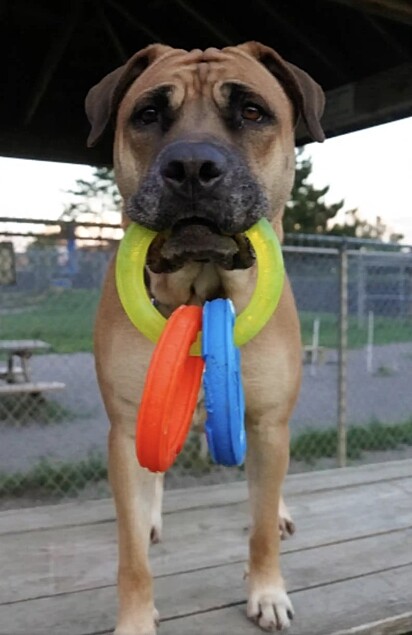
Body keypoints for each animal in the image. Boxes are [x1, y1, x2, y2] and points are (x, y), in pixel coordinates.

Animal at [87, 42, 326, 632]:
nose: (192, 167)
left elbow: (260, 529)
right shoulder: (127, 427)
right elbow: (132, 555)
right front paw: (135, 619)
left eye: (253, 112)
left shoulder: (266, 424)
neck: (200, 291)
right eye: (148, 114)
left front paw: (267, 591)